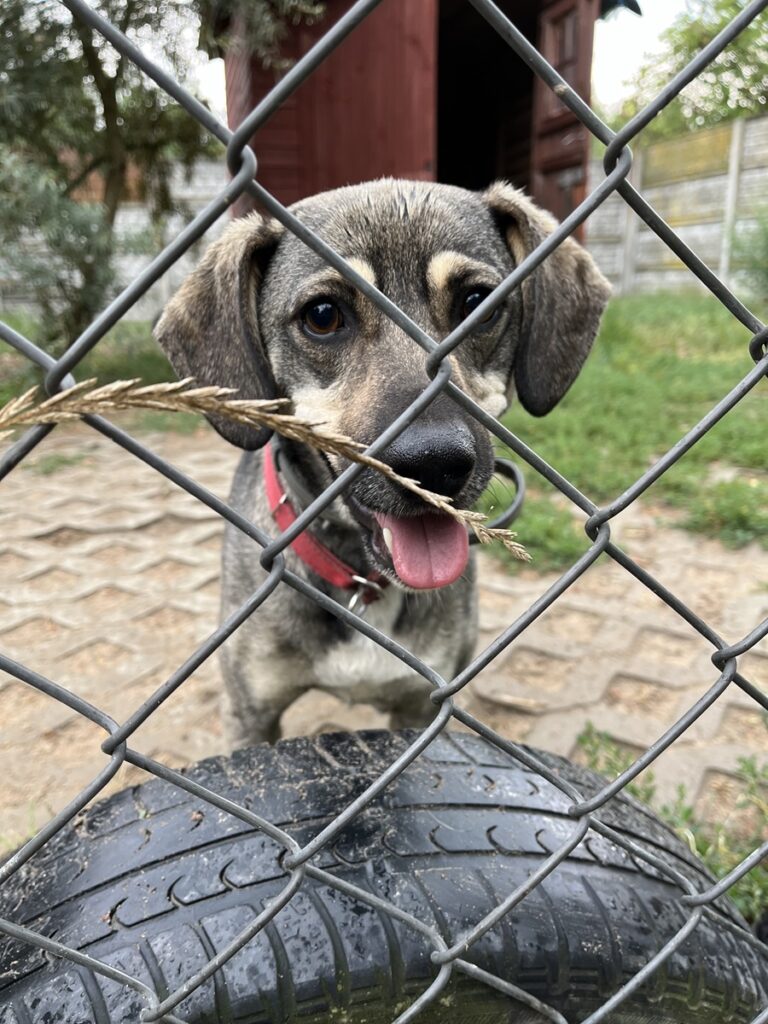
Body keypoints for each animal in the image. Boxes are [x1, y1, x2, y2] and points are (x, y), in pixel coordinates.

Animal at [154, 180, 614, 749]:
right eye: (323, 315)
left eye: (478, 304)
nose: (435, 464)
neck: (364, 578)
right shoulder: (250, 715)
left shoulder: (420, 707)